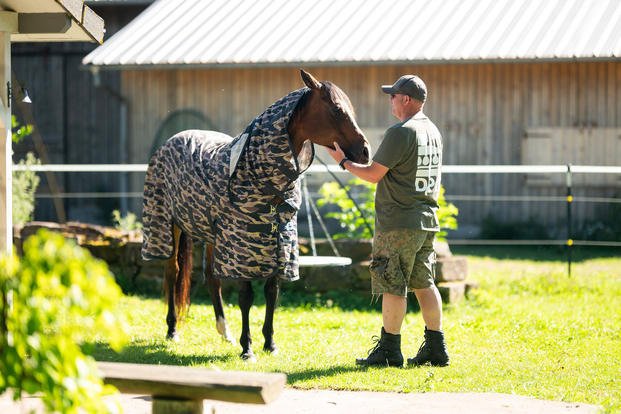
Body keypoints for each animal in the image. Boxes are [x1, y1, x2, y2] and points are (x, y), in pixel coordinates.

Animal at [142, 69, 368, 360]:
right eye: (337, 109)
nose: (365, 152)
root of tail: (172, 140)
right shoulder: (241, 246)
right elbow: (246, 296)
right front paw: (247, 347)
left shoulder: (280, 241)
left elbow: (272, 291)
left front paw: (269, 343)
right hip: (169, 225)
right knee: (173, 272)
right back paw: (172, 330)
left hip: (213, 235)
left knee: (212, 277)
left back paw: (224, 331)